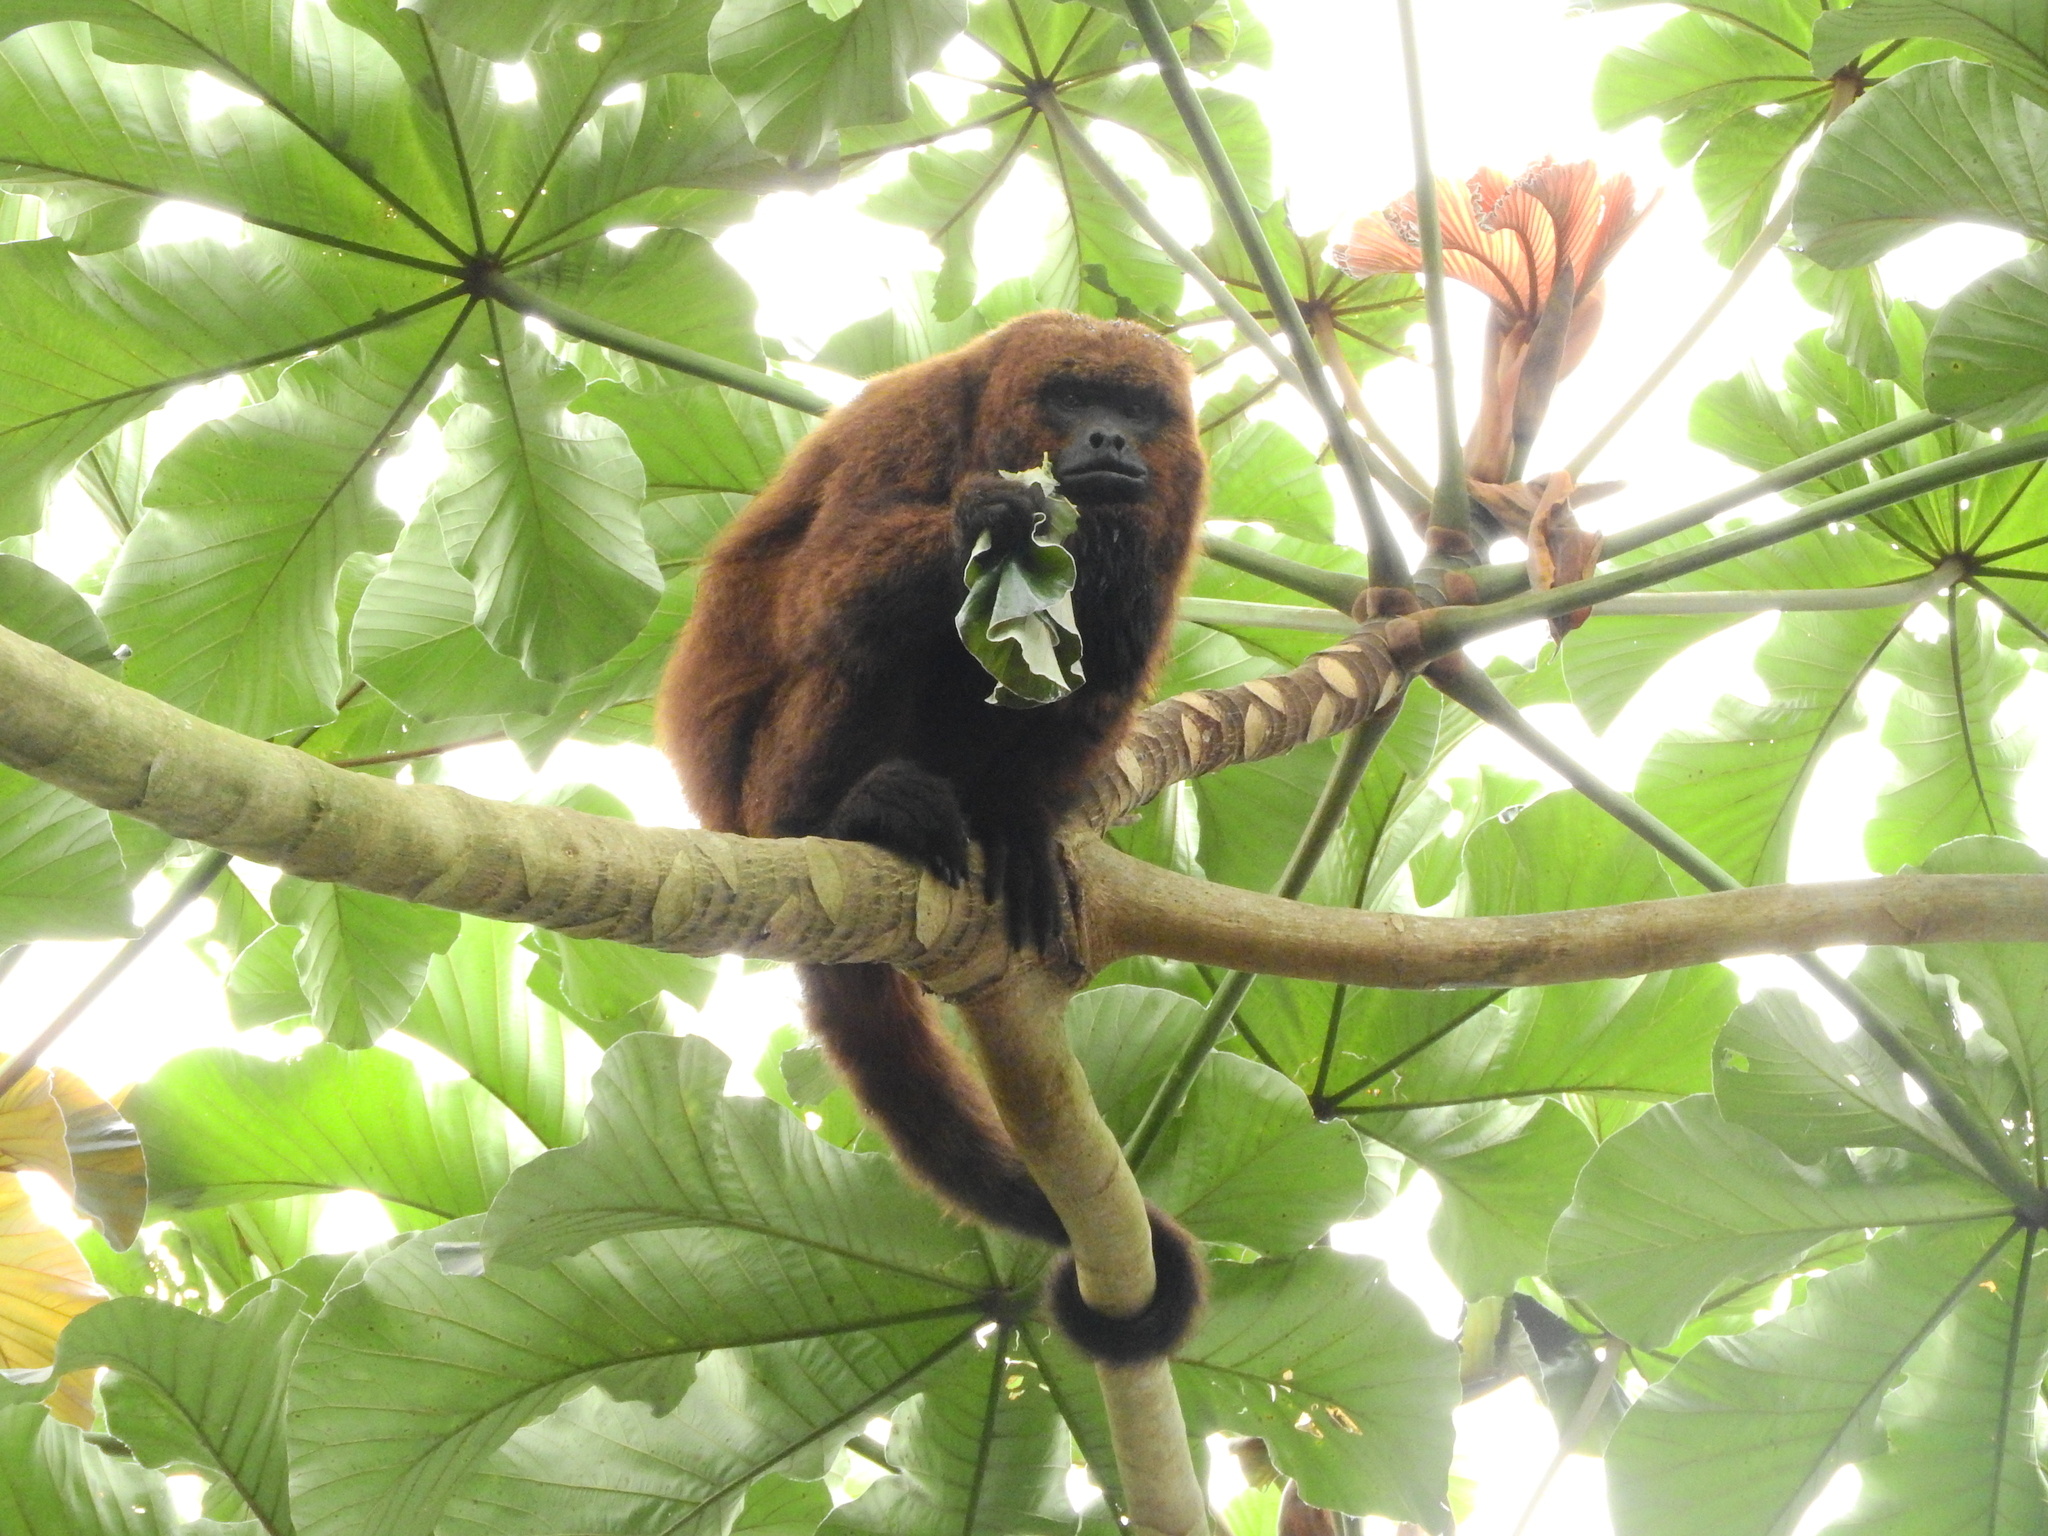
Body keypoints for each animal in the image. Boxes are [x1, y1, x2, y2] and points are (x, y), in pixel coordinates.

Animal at [655, 309, 1204, 1359]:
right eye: (1072, 396)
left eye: (1140, 409)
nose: (1108, 439)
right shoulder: (907, 416)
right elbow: (826, 585)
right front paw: (990, 519)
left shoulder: (1181, 504)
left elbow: (1110, 661)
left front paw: (1025, 827)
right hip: (761, 793)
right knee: (867, 636)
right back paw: (858, 814)